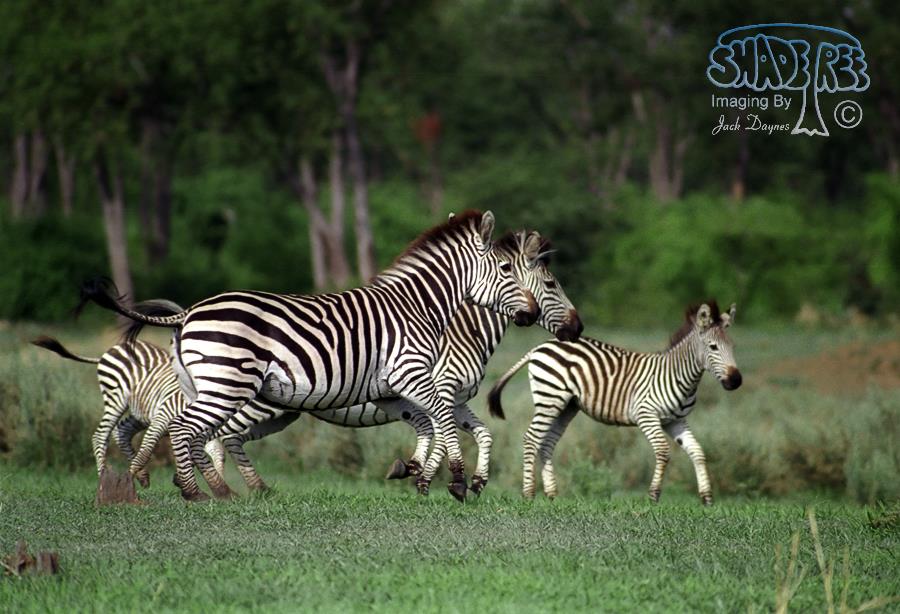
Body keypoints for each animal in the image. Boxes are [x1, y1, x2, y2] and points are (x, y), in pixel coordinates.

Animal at [31, 335, 226, 487]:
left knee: (121, 431)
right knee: (101, 435)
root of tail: (110, 350)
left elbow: (213, 452)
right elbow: (149, 447)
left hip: (140, 411)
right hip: (116, 399)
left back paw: (141, 475)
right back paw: (104, 479)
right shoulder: (165, 415)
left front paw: (216, 483)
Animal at [80, 210, 541, 502]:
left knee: (196, 433)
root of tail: (190, 311)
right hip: (229, 385)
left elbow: (433, 425)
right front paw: (457, 481)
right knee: (185, 429)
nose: (533, 314)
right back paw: (196, 494)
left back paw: (219, 492)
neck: (418, 305)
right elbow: (442, 420)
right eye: (505, 271)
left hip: (208, 385)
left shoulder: (391, 390)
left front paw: (419, 472)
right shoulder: (411, 374)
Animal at [210, 229, 583, 495]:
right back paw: (222, 488)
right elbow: (441, 435)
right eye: (551, 284)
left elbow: (480, 433)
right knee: (218, 433)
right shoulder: (440, 389)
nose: (578, 328)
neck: (463, 332)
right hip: (253, 401)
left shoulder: (455, 399)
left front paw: (470, 481)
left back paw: (250, 489)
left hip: (280, 411)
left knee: (231, 437)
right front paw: (426, 481)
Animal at [488, 302, 742, 505]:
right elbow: (663, 451)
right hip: (549, 397)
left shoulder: (676, 420)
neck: (678, 376)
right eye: (713, 347)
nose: (736, 381)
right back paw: (528, 494)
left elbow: (697, 451)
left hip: (566, 405)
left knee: (546, 442)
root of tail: (539, 346)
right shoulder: (647, 415)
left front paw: (707, 497)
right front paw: (653, 496)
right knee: (531, 438)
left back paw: (552, 494)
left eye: (733, 347)